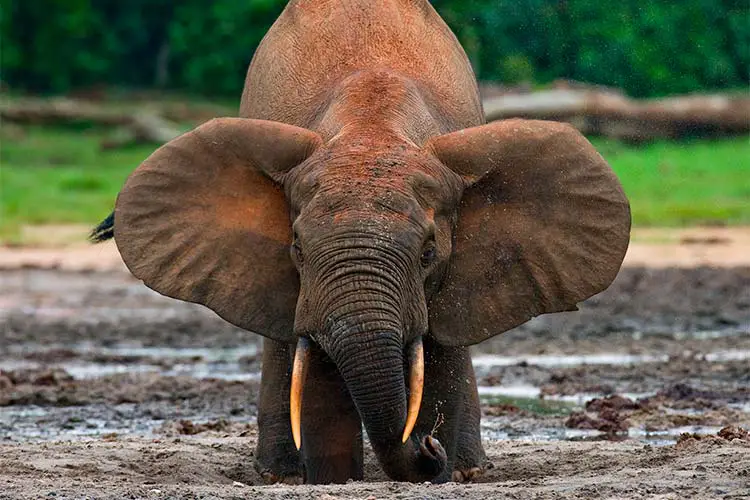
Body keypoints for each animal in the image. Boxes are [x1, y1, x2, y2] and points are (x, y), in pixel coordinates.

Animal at [91, 0, 632, 484]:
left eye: (429, 254)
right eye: (297, 249)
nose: (428, 444)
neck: (371, 129)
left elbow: (439, 353)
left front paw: (438, 466)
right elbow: (317, 376)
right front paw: (335, 479)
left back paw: (469, 470)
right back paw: (279, 476)